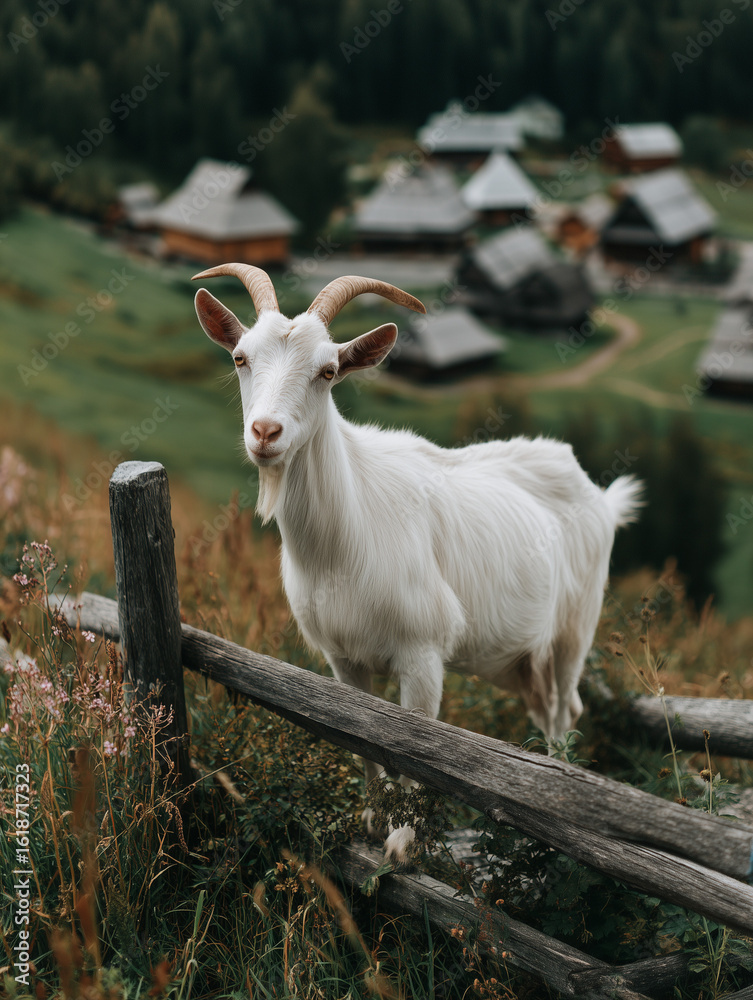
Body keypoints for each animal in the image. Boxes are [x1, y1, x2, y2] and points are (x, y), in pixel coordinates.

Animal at [192, 263, 642, 862]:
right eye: (240, 357)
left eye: (328, 371)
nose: (265, 433)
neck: (344, 542)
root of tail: (599, 496)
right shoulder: (344, 660)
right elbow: (363, 743)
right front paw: (369, 819)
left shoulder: (423, 653)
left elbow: (415, 749)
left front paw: (401, 843)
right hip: (523, 659)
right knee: (546, 705)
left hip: (577, 627)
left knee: (566, 709)